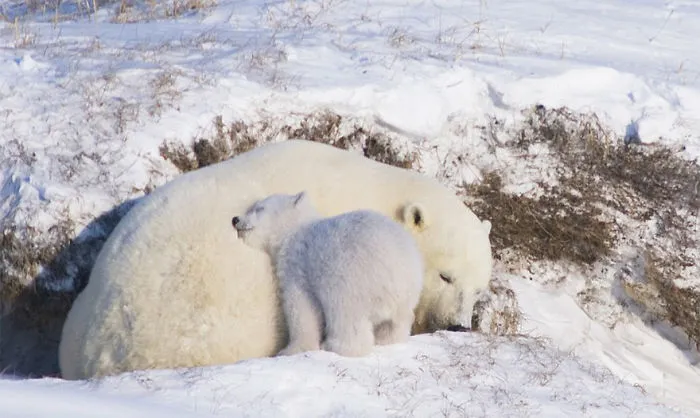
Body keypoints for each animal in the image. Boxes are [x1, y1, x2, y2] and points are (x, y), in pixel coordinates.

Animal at [233, 191, 424, 357]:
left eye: (259, 208)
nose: (235, 219)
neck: (294, 232)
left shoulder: (298, 267)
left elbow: (301, 308)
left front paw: (290, 350)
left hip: (349, 277)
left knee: (345, 314)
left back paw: (335, 346)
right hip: (406, 295)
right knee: (397, 322)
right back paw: (386, 339)